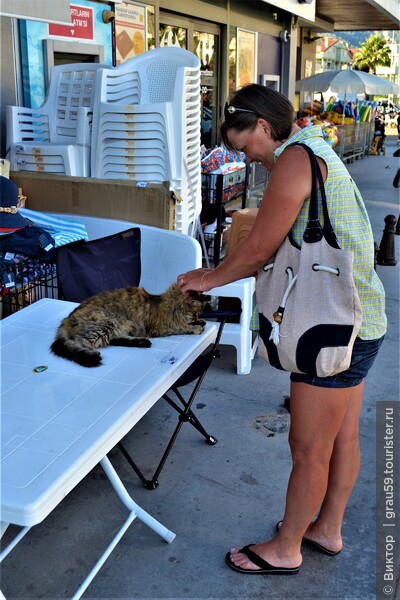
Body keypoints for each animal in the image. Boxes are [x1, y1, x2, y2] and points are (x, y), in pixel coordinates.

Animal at [50, 284, 208, 368]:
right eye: (196, 313)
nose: (198, 317)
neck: (169, 305)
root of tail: (67, 318)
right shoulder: (163, 327)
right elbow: (183, 328)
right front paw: (197, 327)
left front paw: (202, 322)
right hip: (106, 322)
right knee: (81, 342)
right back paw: (91, 353)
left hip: (116, 326)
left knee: (114, 340)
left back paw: (143, 342)